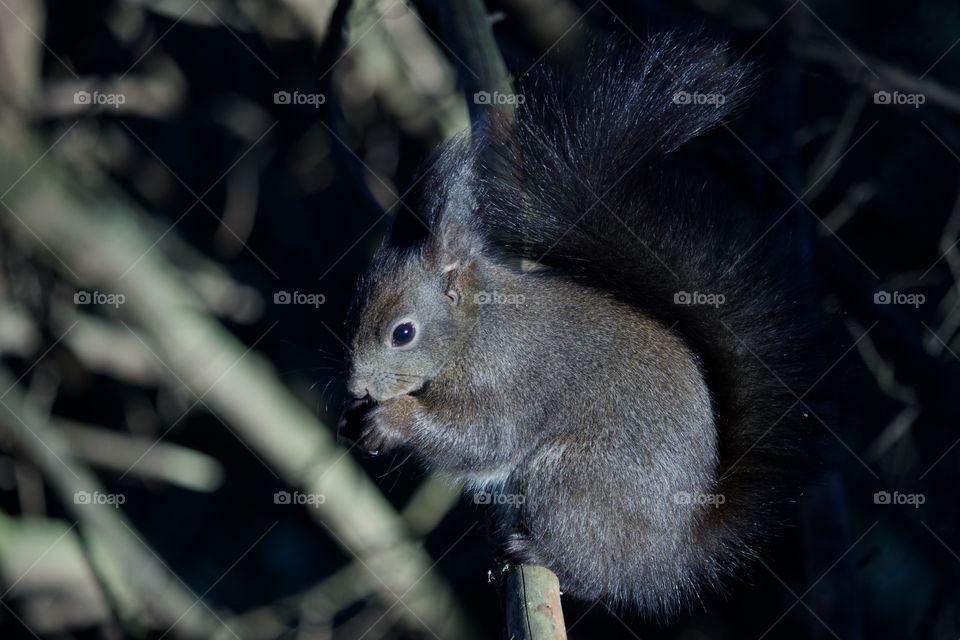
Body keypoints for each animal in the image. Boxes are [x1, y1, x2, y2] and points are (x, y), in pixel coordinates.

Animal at [338, 33, 816, 616]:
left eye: (402, 333)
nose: (356, 385)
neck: (474, 330)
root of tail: (671, 555)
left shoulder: (508, 377)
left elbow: (484, 436)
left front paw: (392, 420)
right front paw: (353, 416)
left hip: (571, 481)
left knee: (595, 570)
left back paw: (537, 551)